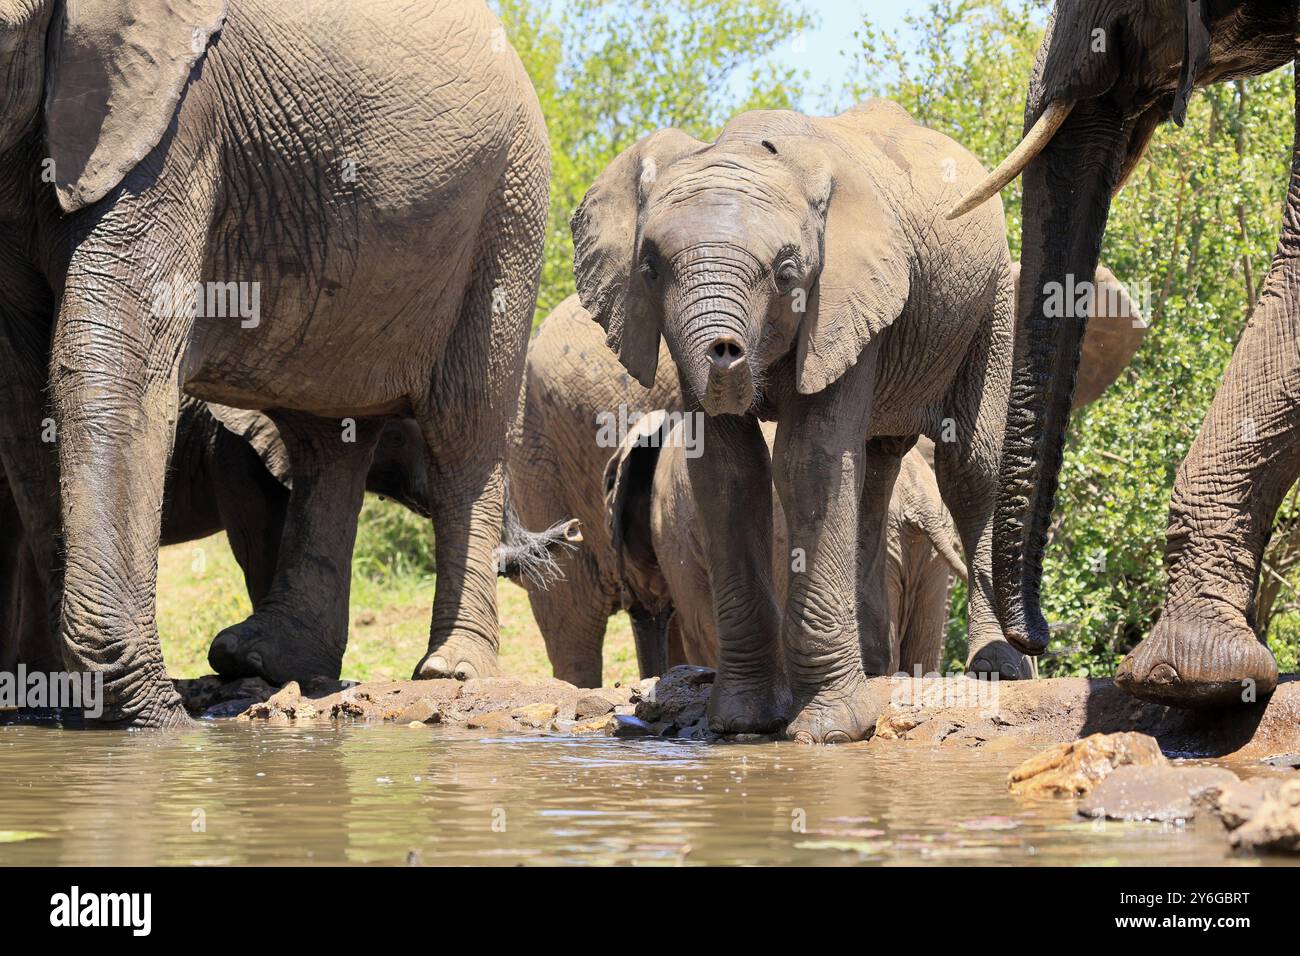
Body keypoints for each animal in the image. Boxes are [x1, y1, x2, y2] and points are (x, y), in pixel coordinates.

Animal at [0, 0, 548, 723]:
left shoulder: (178, 125)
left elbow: (111, 357)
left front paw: (147, 718)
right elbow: (23, 391)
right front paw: (67, 708)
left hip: (508, 209)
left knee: (466, 429)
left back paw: (449, 671)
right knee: (326, 437)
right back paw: (265, 661)